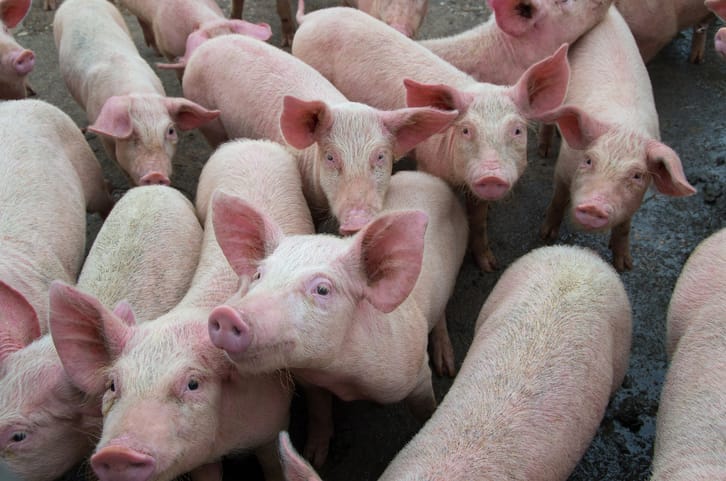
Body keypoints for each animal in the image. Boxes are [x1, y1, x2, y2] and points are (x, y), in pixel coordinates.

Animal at [49, 139, 313, 481]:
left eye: (192, 383)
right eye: (113, 385)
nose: (117, 453)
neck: (227, 439)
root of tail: (250, 143)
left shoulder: (272, 424)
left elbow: (273, 464)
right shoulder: (200, 459)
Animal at [53, 0, 220, 187]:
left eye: (170, 131)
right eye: (131, 133)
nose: (155, 174)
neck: (137, 92)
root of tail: (77, 1)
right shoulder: (106, 139)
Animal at [207, 170, 468, 466]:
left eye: (323, 289)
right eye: (259, 275)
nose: (227, 315)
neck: (338, 376)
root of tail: (424, 175)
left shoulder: (416, 373)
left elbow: (425, 407)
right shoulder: (310, 382)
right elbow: (319, 410)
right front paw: (314, 458)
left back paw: (446, 365)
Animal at [291, 5, 570, 271]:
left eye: (517, 130)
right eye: (466, 130)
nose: (492, 175)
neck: (457, 177)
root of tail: (312, 18)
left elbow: (479, 221)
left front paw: (491, 266)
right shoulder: (427, 161)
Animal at [536, 6, 695, 272]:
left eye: (637, 175)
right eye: (589, 160)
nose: (594, 207)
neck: (624, 128)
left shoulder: (636, 200)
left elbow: (624, 227)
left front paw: (624, 265)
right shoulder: (563, 167)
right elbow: (558, 199)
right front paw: (546, 236)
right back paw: (544, 150)